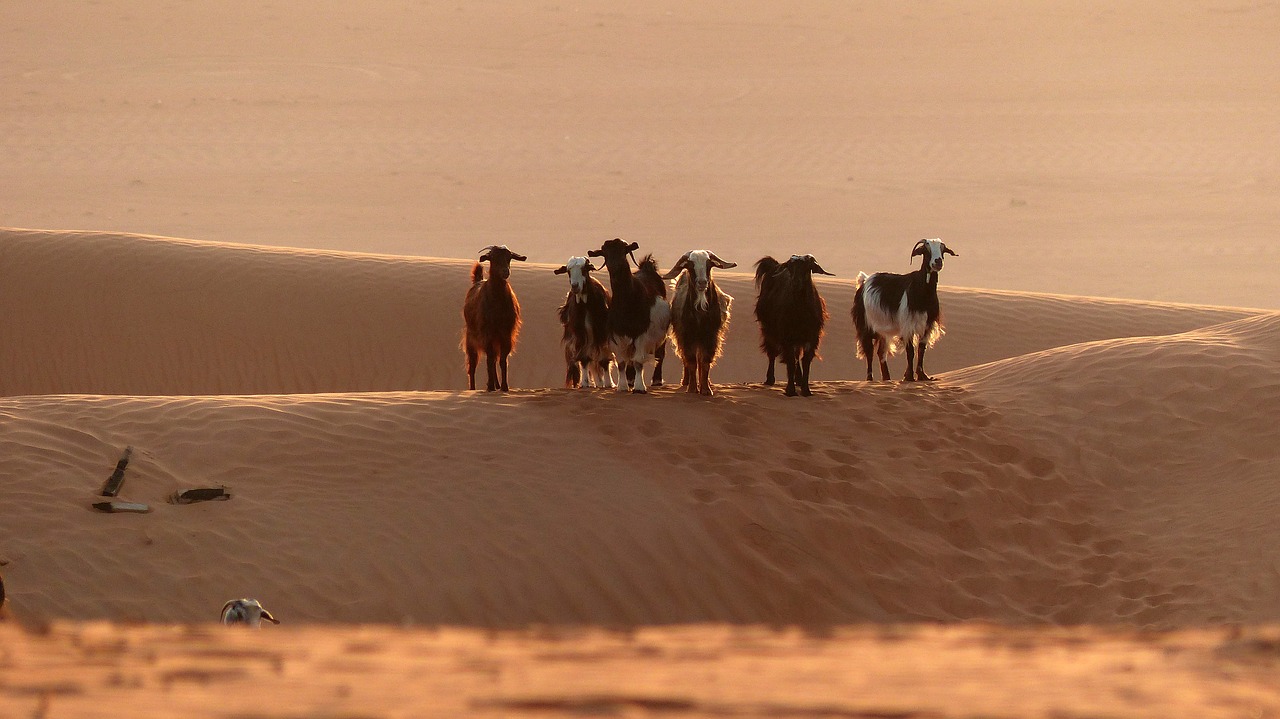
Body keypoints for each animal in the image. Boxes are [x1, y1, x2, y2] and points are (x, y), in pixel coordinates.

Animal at [460, 245, 524, 391]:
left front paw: (504, 387)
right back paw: (473, 388)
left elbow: (502, 361)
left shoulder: (506, 334)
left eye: (509, 257)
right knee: (472, 365)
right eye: (493, 257)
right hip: (471, 338)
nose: (506, 271)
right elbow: (489, 359)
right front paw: (490, 386)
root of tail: (478, 281)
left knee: (494, 360)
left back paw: (497, 384)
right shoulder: (487, 333)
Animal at [550, 253, 614, 386]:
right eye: (568, 271)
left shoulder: (602, 334)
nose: (575, 286)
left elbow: (604, 360)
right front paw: (585, 383)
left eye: (584, 270)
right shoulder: (580, 335)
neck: (586, 305)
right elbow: (584, 359)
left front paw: (609, 383)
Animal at [586, 236, 670, 391]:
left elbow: (638, 362)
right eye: (604, 253)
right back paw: (630, 380)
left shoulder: (642, 333)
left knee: (660, 354)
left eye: (623, 251)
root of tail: (647, 268)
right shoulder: (618, 334)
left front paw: (639, 387)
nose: (614, 266)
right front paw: (623, 386)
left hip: (662, 333)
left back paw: (656, 380)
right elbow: (622, 363)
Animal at [752, 253, 834, 396]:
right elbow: (790, 361)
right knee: (772, 352)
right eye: (790, 268)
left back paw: (799, 380)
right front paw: (790, 390)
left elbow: (805, 361)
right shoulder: (786, 337)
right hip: (768, 330)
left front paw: (806, 390)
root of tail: (774, 265)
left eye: (807, 267)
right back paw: (770, 379)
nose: (796, 283)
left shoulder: (812, 338)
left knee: (796, 355)